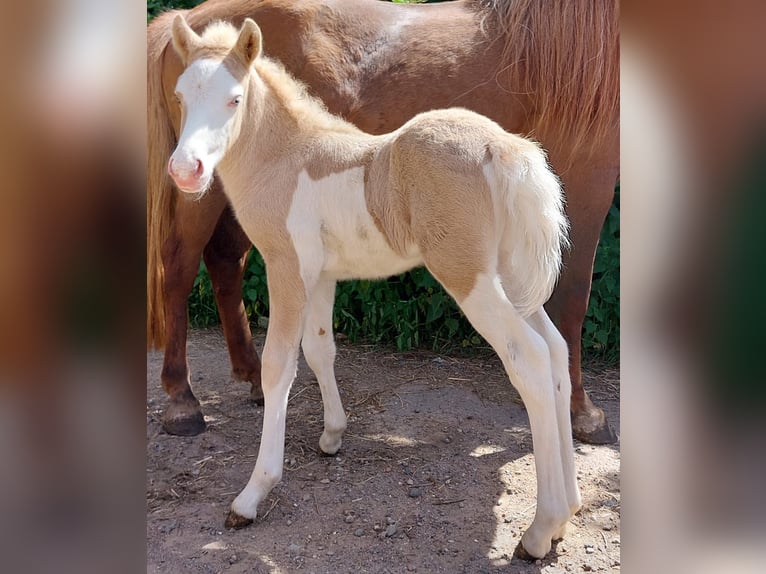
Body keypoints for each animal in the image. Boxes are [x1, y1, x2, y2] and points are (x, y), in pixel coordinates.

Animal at [147, 0, 619, 443]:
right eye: (181, 97)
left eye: (234, 99)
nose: (184, 167)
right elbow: (573, 296)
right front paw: (585, 414)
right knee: (181, 267)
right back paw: (183, 403)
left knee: (223, 261)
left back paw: (242, 380)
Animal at [168, 15, 581, 560]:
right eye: (179, 96)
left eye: (234, 99)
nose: (184, 170)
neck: (286, 160)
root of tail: (506, 149)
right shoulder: (321, 276)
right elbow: (320, 349)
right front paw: (332, 436)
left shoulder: (285, 268)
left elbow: (278, 367)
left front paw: (251, 496)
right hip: (512, 277)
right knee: (556, 353)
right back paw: (567, 513)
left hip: (470, 279)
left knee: (529, 358)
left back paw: (538, 531)